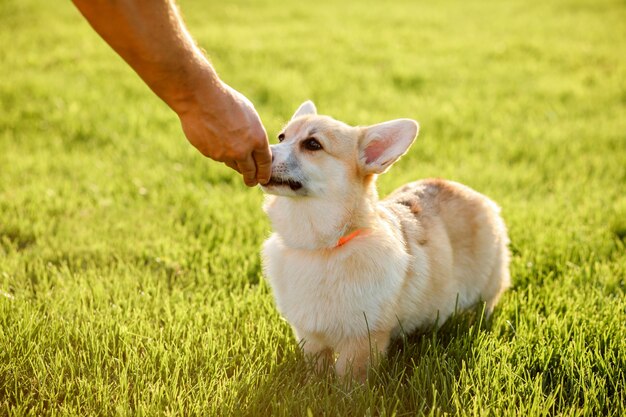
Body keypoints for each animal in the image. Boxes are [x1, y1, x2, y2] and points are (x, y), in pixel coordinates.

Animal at [258, 101, 508, 380]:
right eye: (282, 137)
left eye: (313, 144)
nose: (263, 152)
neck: (323, 246)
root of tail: (471, 192)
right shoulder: (309, 336)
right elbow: (316, 367)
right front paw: (314, 384)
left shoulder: (363, 339)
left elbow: (348, 379)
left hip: (487, 287)